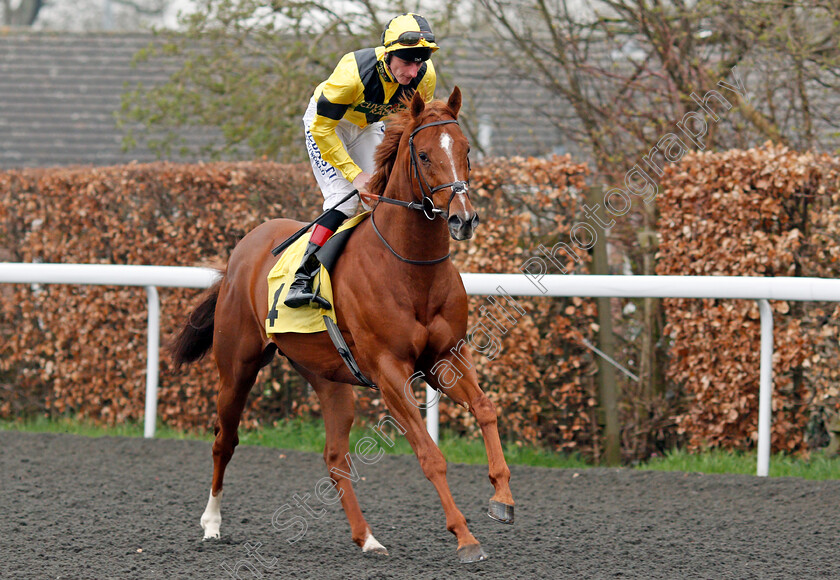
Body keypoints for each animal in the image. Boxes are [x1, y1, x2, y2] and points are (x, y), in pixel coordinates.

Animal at [170, 88, 512, 564]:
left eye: (465, 151)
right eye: (425, 155)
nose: (463, 219)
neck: (410, 269)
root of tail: (242, 249)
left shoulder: (446, 356)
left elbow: (485, 408)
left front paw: (502, 498)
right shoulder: (389, 371)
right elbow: (430, 456)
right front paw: (464, 537)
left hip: (328, 378)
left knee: (334, 458)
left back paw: (367, 537)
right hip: (237, 366)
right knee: (226, 438)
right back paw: (212, 523)